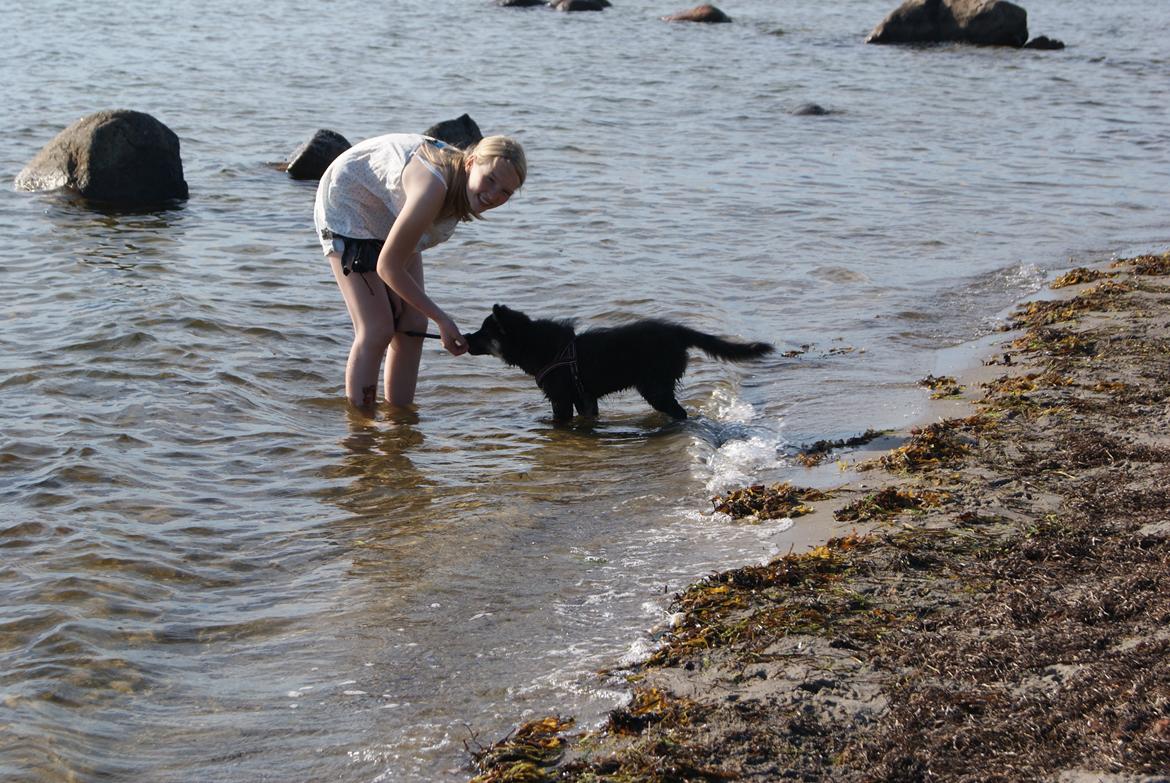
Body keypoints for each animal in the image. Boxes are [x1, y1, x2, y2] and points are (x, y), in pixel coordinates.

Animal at [460, 301, 772, 419]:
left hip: (654, 386)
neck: (535, 345)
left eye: (484, 332)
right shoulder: (584, 399)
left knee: (679, 412)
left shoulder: (561, 399)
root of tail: (678, 332)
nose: (464, 337)